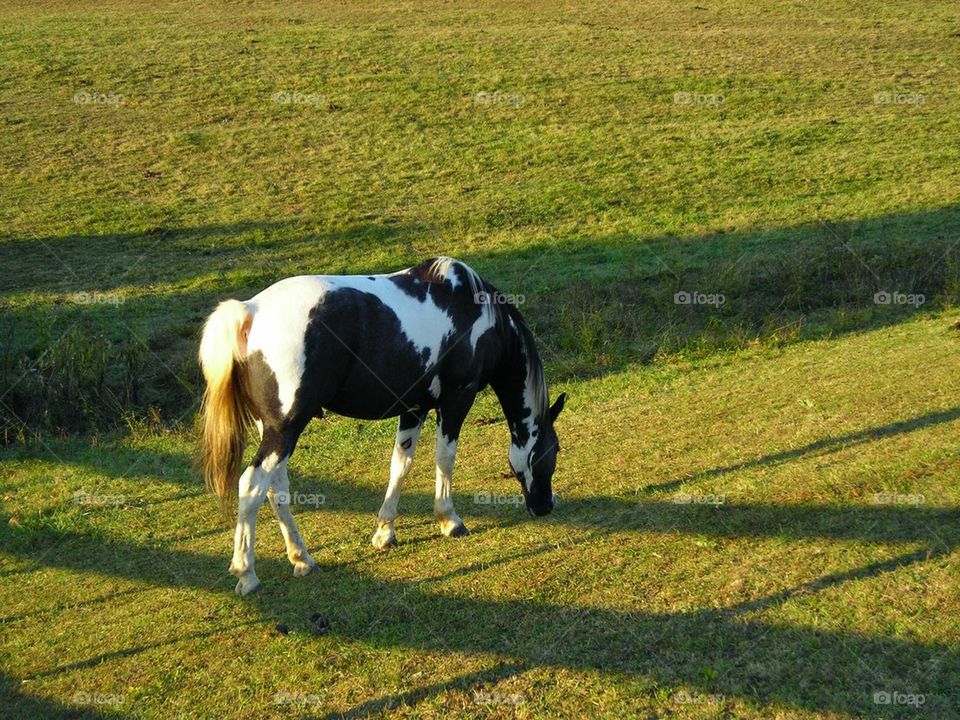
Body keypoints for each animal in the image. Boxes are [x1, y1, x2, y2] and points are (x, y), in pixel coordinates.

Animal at [199, 256, 568, 592]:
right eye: (554, 450)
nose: (546, 506)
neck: (475, 311)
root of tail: (250, 310)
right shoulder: (456, 400)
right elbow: (445, 459)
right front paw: (449, 520)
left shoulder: (414, 408)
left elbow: (400, 464)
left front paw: (385, 531)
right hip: (285, 427)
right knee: (251, 486)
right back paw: (247, 573)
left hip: (274, 429)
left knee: (278, 489)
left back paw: (301, 558)